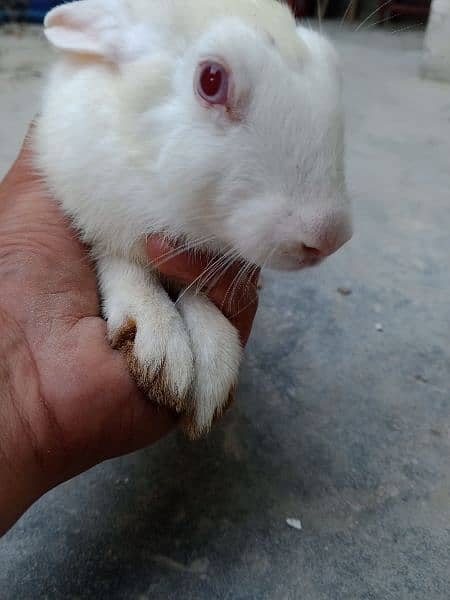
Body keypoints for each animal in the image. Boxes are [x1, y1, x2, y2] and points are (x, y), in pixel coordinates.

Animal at [34, 0, 352, 436]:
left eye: (334, 65)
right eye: (212, 79)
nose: (328, 234)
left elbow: (197, 288)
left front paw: (213, 360)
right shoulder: (99, 215)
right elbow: (122, 265)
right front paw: (161, 349)